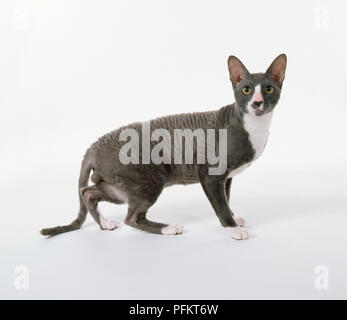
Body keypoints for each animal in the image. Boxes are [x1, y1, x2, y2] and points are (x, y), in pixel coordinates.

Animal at [40, 53, 286, 240]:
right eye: (246, 90)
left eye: (268, 89)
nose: (257, 103)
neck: (254, 126)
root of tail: (93, 146)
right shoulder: (211, 175)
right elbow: (221, 204)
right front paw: (233, 228)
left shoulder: (227, 178)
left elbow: (226, 199)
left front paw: (234, 218)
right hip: (148, 181)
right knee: (130, 217)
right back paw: (168, 228)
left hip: (117, 185)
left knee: (88, 192)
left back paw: (105, 223)